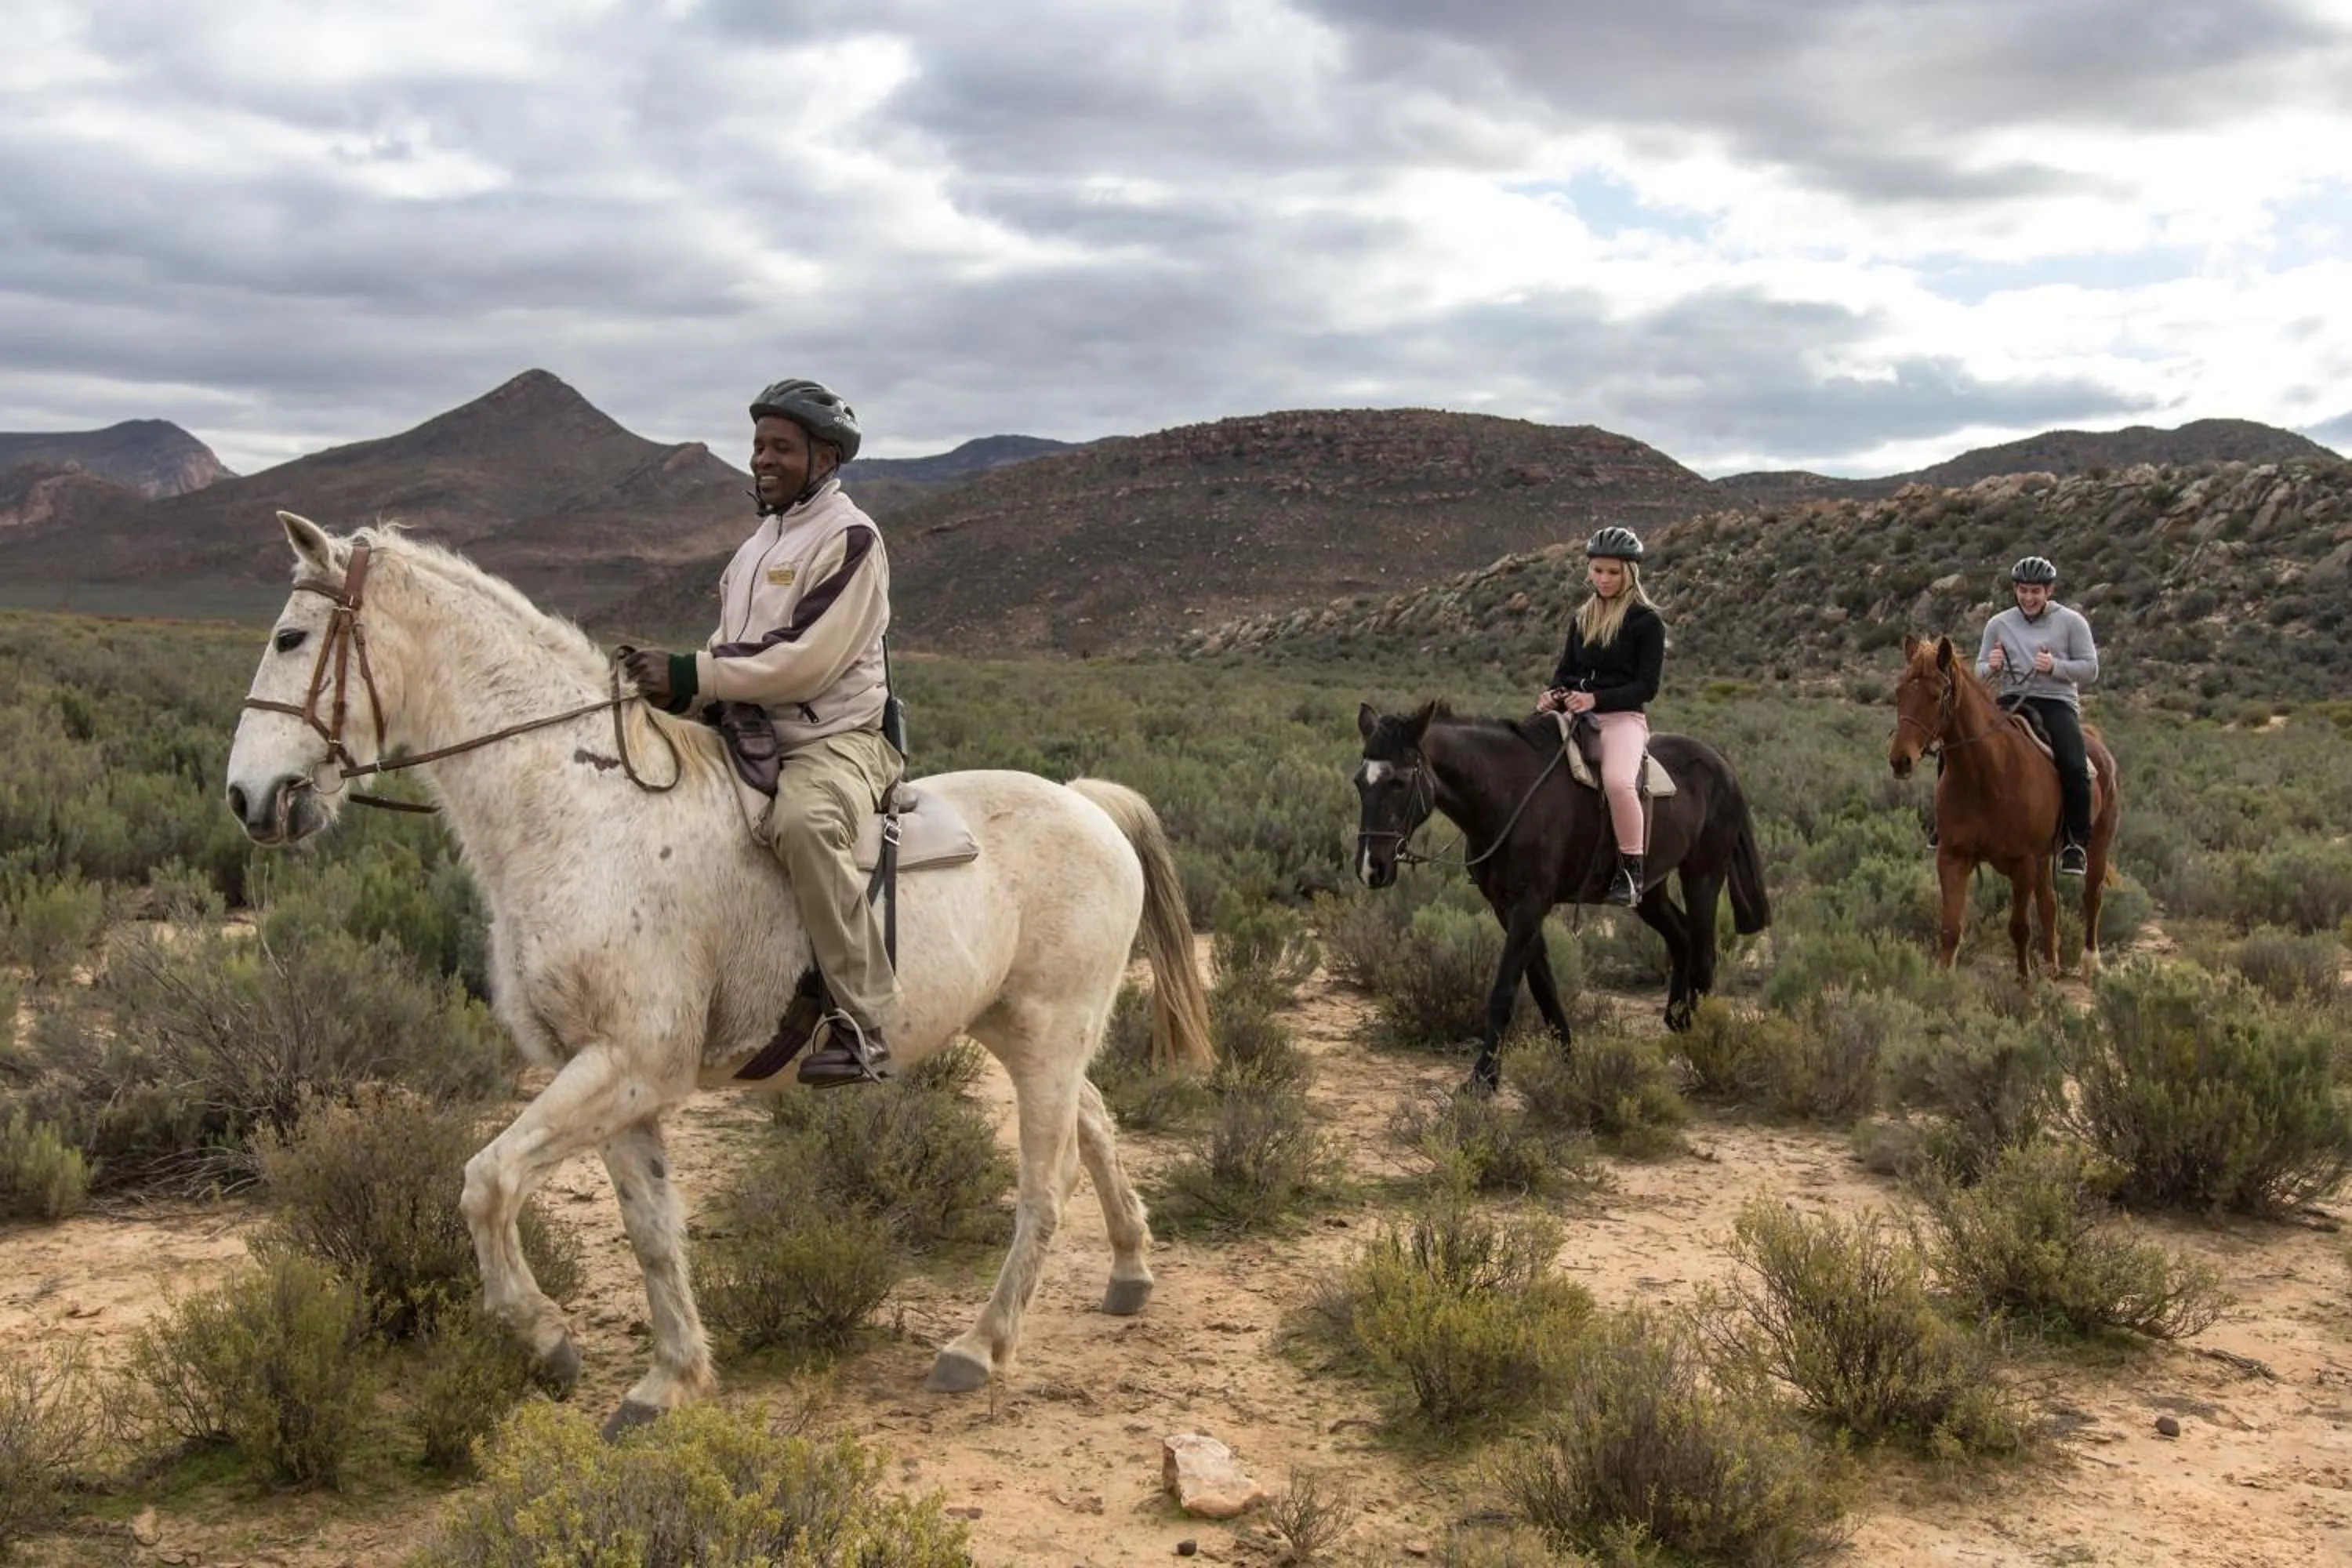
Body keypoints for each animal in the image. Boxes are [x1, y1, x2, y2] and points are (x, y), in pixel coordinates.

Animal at [223, 514, 1213, 1434]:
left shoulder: (629, 1065)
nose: (249, 797)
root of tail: (1086, 802)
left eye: (290, 637)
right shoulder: (612, 1081)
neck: (585, 812)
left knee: (1046, 1185)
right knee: (1097, 1124)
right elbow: (652, 1230)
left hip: (1048, 1032)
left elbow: (486, 1181)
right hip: (1020, 1030)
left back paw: (979, 1344)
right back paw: (1130, 1268)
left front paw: (545, 1335)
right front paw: (670, 1378)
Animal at [1352, 701, 1771, 1094]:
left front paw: (1483, 1079)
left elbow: (1504, 991)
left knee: (1704, 954)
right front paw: (1567, 1061)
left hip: (1702, 876)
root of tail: (1722, 765)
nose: (1371, 868)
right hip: (1650, 890)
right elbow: (1544, 986)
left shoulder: (1529, 904)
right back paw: (1679, 1018)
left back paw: (1701, 1042)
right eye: (1360, 782)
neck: (1510, 794)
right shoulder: (1509, 908)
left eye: (1398, 782)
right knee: (1681, 938)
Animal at [1886, 634, 2121, 980]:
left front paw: (2025, 984)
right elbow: (1950, 929)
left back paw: (2090, 962)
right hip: (2044, 856)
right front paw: (1942, 983)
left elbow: (2019, 928)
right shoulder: (1953, 856)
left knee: (2092, 896)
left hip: (2098, 844)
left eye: (1936, 695)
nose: (1900, 760)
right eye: (1900, 691)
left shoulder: (2023, 863)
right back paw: (2052, 966)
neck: (1986, 776)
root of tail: (2096, 742)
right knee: (2049, 904)